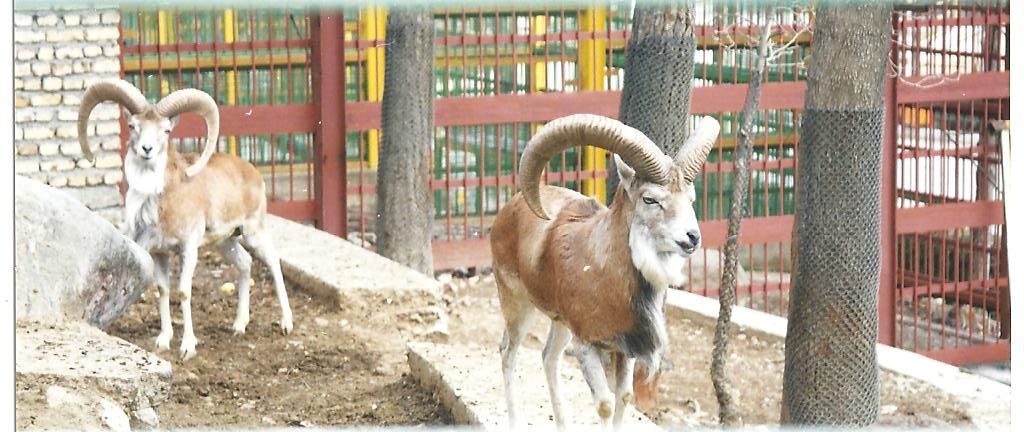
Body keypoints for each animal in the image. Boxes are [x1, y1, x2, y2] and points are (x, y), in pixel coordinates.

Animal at [78, 79, 293, 360]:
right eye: (133, 126)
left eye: (166, 130)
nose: (147, 149)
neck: (159, 203)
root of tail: (253, 172)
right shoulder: (160, 253)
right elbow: (163, 290)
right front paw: (163, 340)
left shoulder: (188, 249)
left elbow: (184, 292)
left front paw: (187, 347)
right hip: (226, 242)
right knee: (245, 264)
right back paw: (239, 326)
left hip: (252, 232)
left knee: (273, 262)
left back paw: (286, 324)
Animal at [490, 113, 720, 429]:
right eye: (650, 199)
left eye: (691, 198)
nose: (692, 238)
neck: (605, 277)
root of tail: (507, 211)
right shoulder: (586, 346)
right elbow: (605, 405)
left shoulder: (626, 351)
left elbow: (624, 397)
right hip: (517, 306)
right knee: (508, 353)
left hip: (560, 323)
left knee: (549, 358)